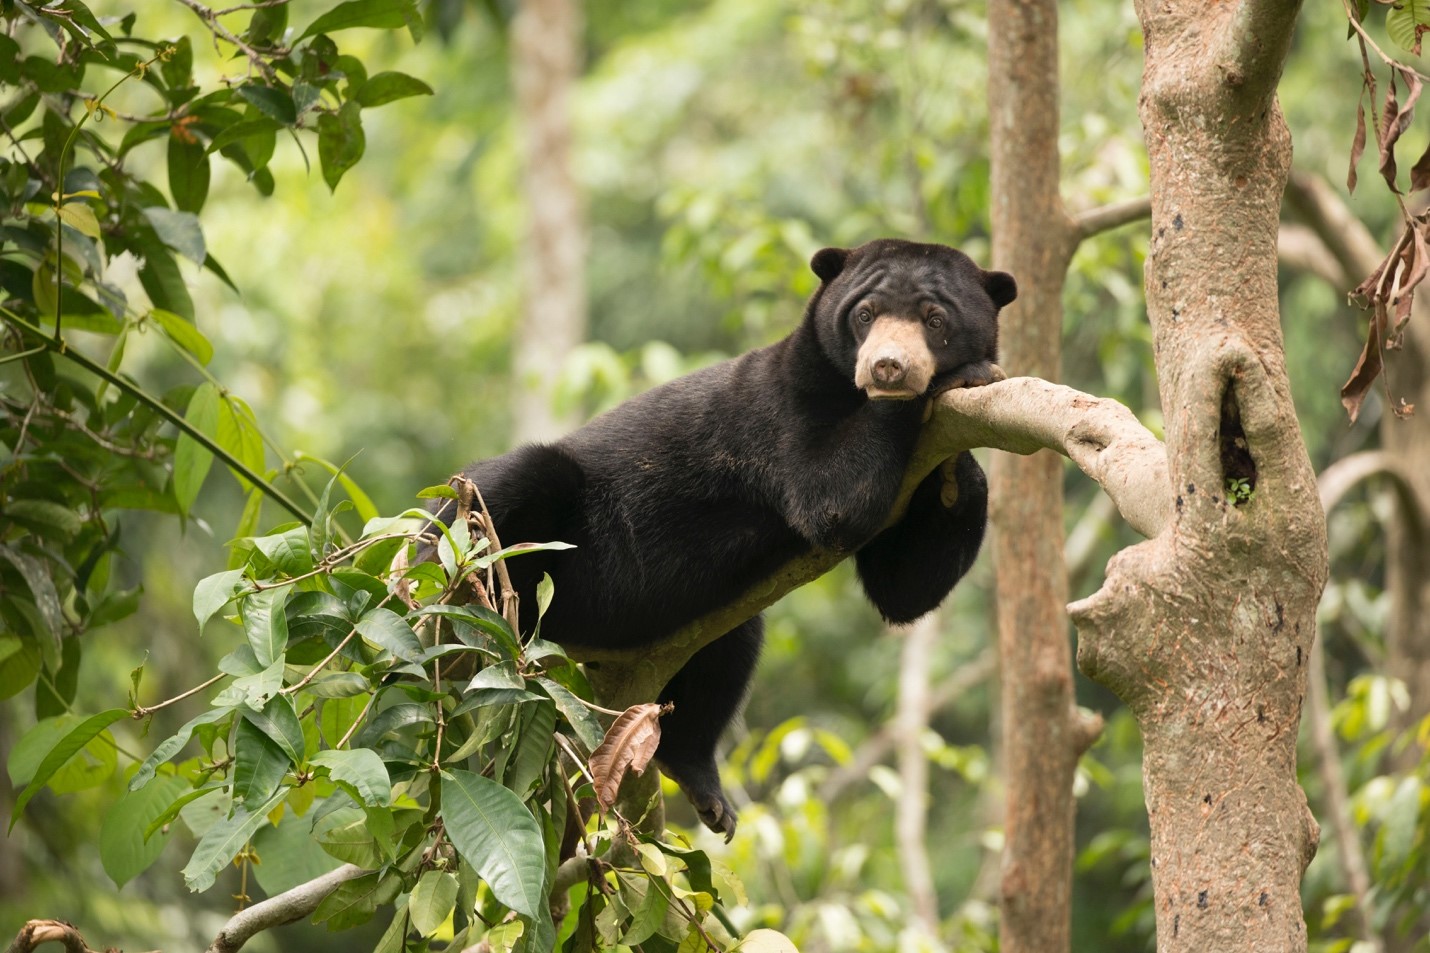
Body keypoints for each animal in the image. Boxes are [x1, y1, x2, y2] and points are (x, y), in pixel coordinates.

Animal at [426, 236, 1018, 829]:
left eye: (935, 319)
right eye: (865, 314)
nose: (888, 368)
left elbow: (904, 587)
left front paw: (959, 473)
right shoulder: (786, 410)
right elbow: (829, 497)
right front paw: (961, 377)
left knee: (727, 654)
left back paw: (701, 784)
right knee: (512, 485)